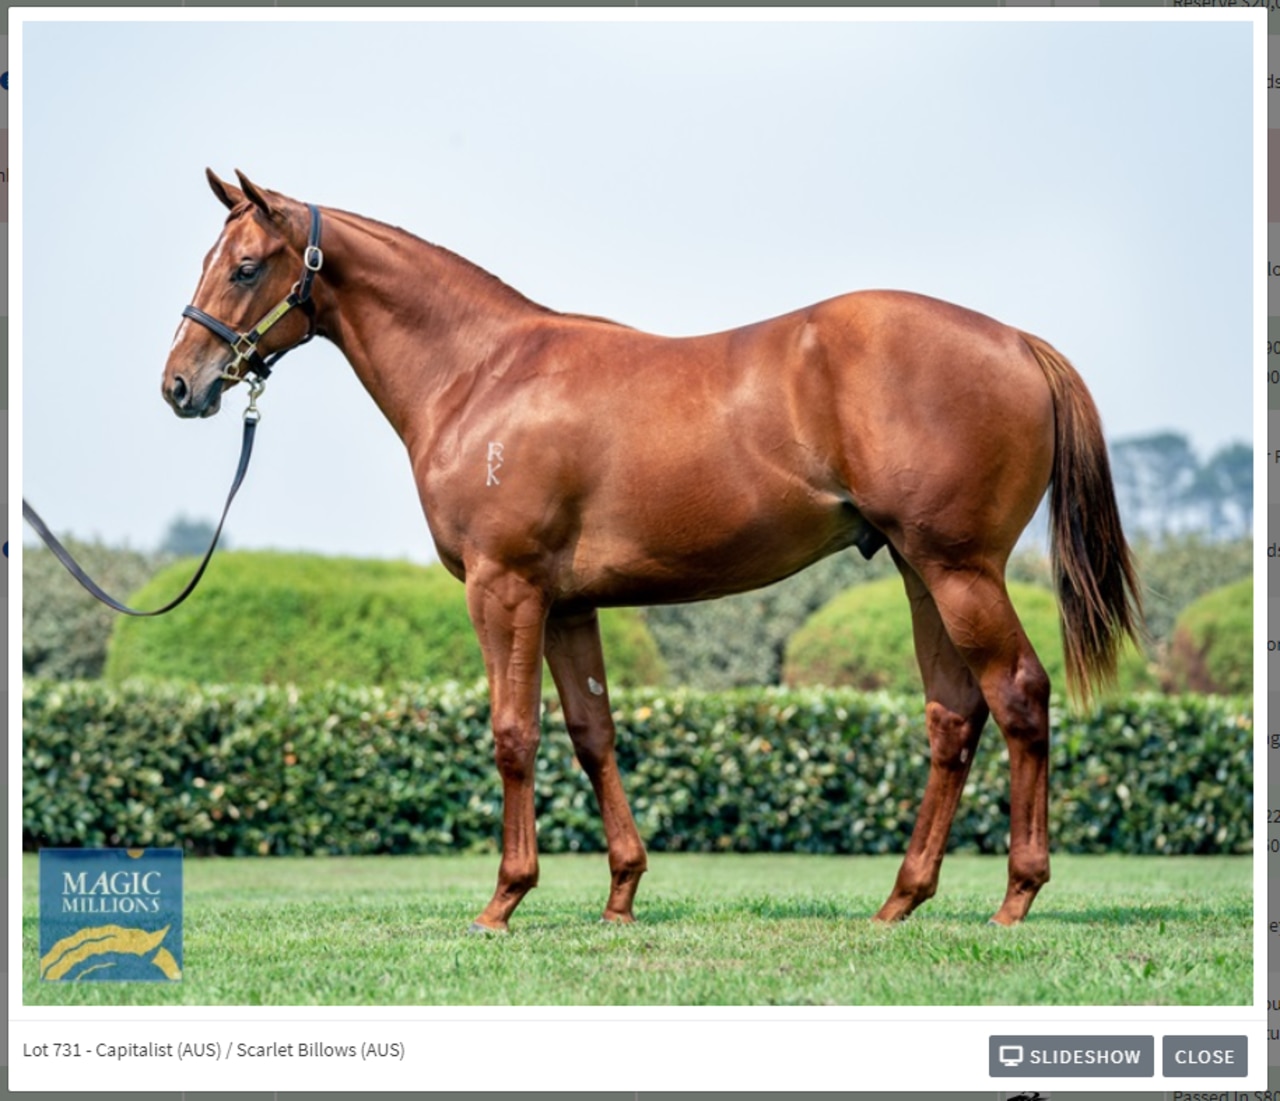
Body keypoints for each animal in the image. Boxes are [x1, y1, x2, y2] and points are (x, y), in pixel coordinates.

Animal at [162, 171, 1141, 926]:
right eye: (207, 259)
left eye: (245, 265)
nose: (180, 385)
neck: (482, 373)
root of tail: (1017, 341)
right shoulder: (568, 603)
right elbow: (593, 733)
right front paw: (621, 893)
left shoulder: (504, 587)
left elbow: (514, 733)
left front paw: (504, 899)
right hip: (917, 571)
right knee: (954, 715)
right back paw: (902, 898)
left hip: (958, 569)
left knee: (1019, 696)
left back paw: (1015, 895)